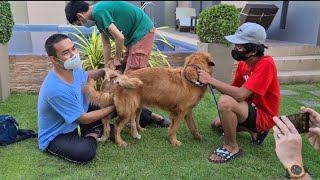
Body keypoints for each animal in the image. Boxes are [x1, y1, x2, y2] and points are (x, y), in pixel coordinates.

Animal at [82, 51, 214, 146]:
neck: (192, 75)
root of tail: (119, 80)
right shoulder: (180, 112)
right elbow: (174, 129)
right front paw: (174, 141)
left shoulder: (188, 111)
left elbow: (193, 126)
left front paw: (197, 137)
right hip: (127, 109)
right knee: (117, 125)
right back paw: (119, 141)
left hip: (130, 106)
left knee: (112, 120)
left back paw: (109, 136)